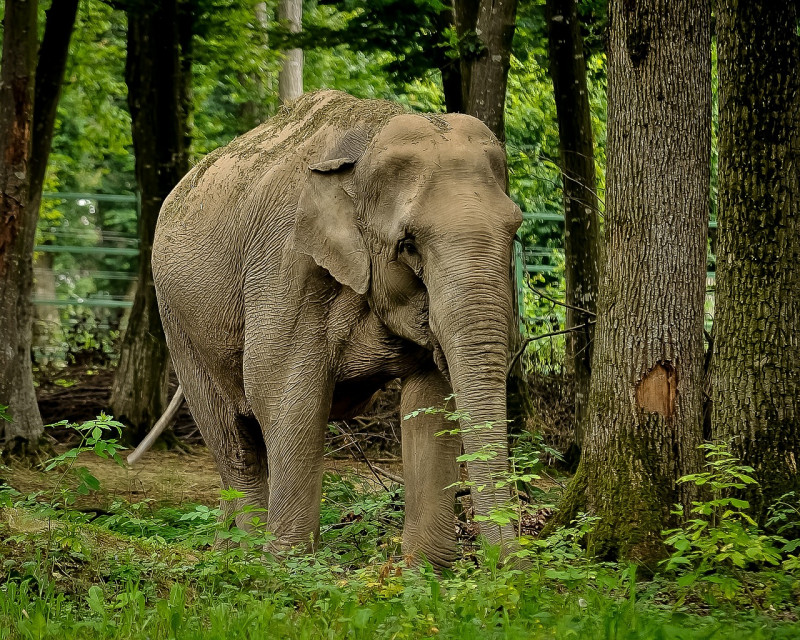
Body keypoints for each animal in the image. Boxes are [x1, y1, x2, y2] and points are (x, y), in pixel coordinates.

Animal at [149, 90, 522, 567]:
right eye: (408, 244)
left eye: (515, 230)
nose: (515, 566)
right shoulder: (285, 262)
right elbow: (284, 392)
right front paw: (286, 568)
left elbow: (430, 400)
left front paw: (423, 571)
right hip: (178, 322)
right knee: (235, 442)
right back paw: (243, 560)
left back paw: (226, 552)